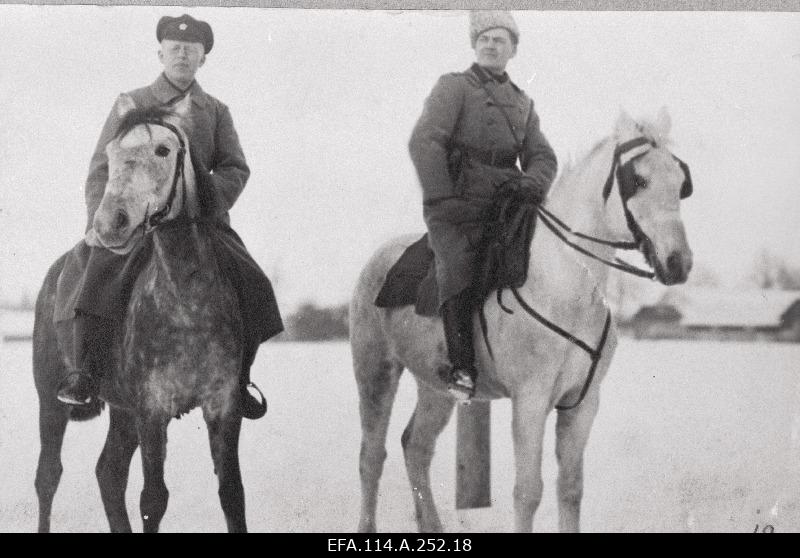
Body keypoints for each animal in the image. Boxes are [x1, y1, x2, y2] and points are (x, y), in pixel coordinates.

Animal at [33, 95, 250, 532]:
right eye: (112, 154)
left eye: (163, 150)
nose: (109, 224)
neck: (187, 297)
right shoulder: (152, 409)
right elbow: (154, 499)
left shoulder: (223, 405)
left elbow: (232, 495)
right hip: (51, 400)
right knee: (48, 476)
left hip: (122, 411)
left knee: (109, 472)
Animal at [350, 108, 692, 532]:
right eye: (639, 179)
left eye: (679, 181)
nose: (679, 263)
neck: (566, 284)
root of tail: (380, 258)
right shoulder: (530, 400)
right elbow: (528, 492)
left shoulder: (582, 404)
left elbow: (570, 489)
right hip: (375, 373)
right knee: (371, 457)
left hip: (436, 387)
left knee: (416, 448)